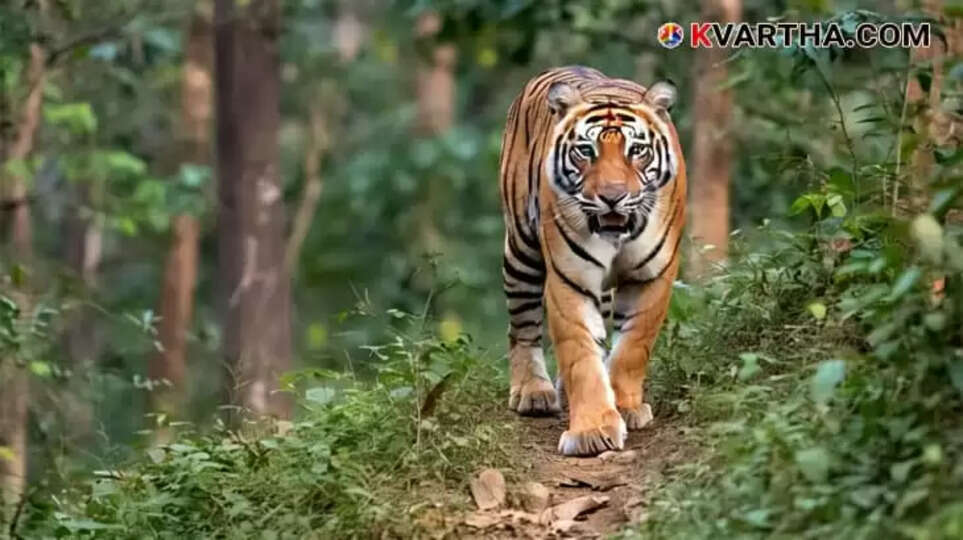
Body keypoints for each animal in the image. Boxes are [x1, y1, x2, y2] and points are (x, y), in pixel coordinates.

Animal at [499, 66, 685, 456]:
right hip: (521, 248)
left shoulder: (653, 276)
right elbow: (580, 354)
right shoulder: (570, 277)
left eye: (637, 150)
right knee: (522, 324)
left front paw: (626, 407)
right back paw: (533, 391)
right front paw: (592, 430)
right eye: (586, 151)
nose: (612, 197)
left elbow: (632, 348)